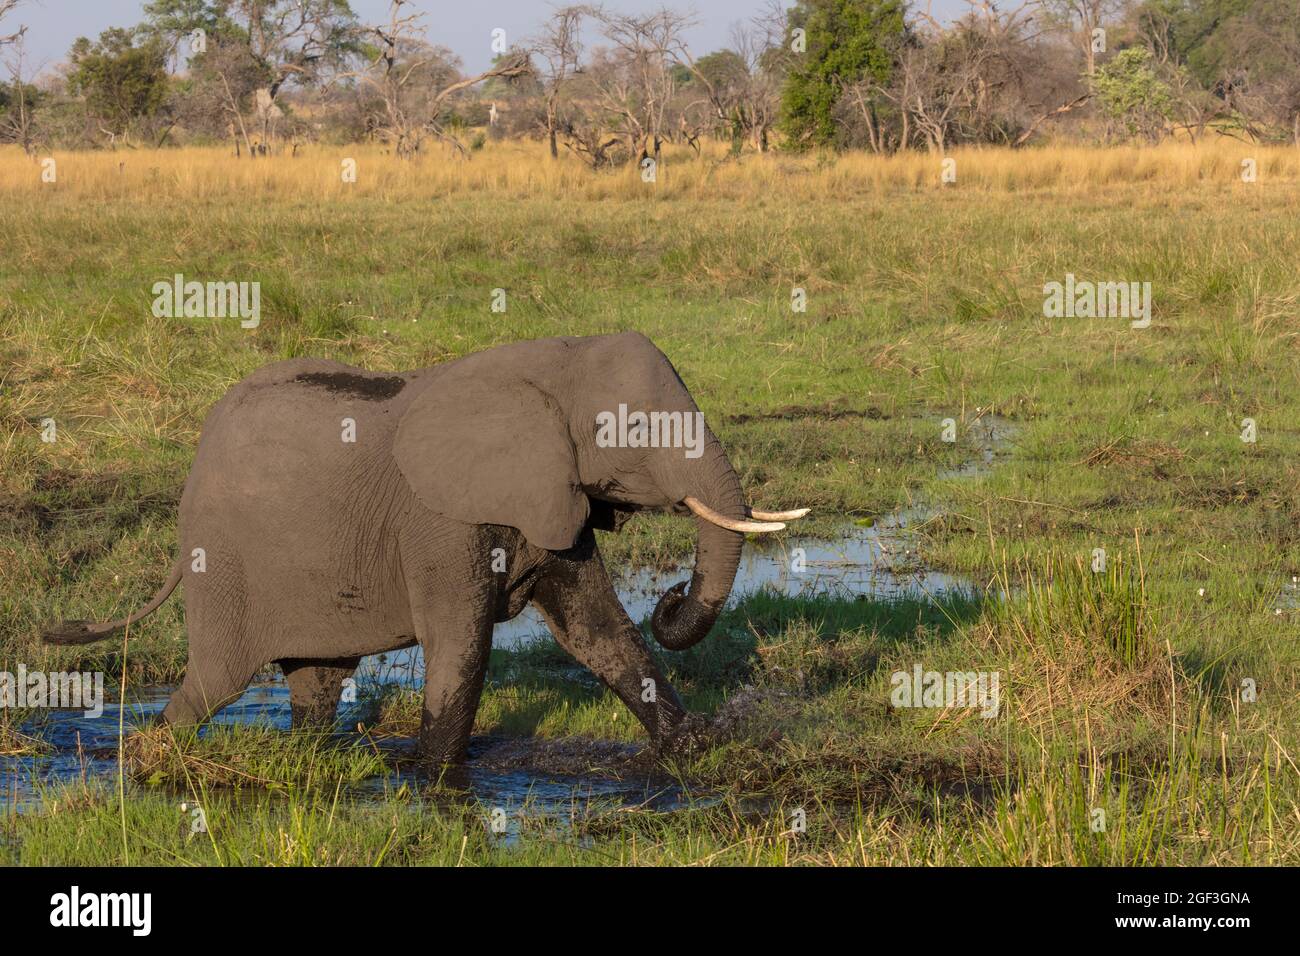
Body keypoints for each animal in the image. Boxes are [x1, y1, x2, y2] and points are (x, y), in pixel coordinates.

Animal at [45, 332, 800, 764]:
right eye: (634, 427)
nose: (671, 597)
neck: (544, 364)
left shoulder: (546, 496)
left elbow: (599, 630)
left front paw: (696, 749)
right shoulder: (439, 520)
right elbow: (461, 641)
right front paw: (438, 781)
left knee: (317, 682)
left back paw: (306, 760)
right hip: (222, 558)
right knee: (214, 683)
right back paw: (142, 761)